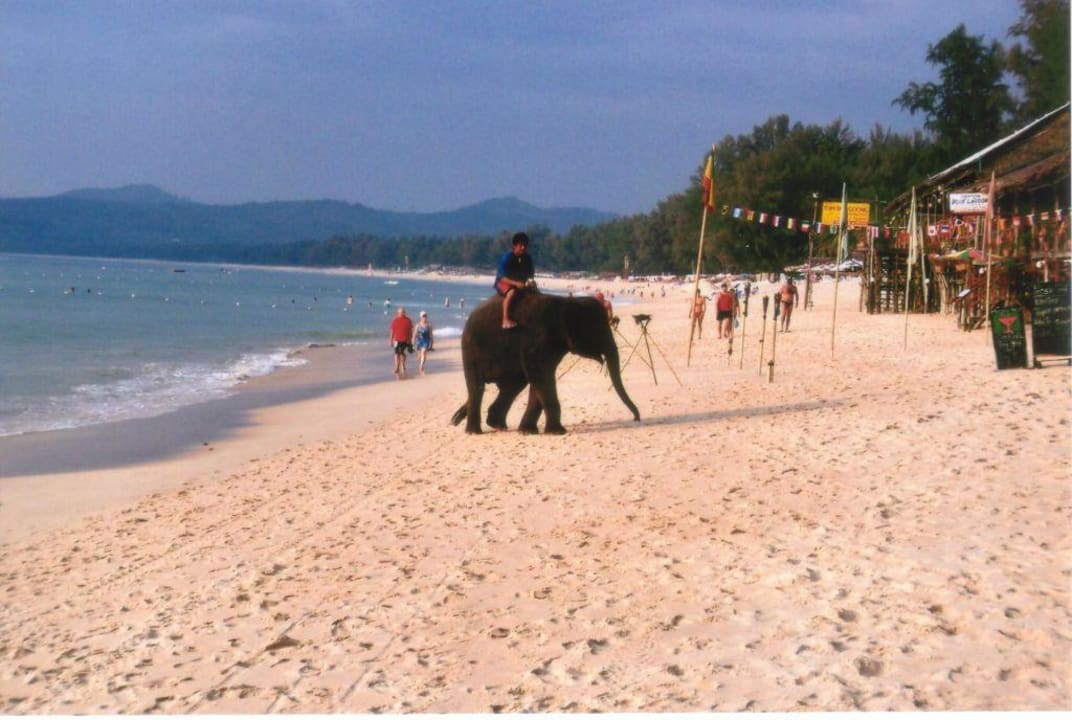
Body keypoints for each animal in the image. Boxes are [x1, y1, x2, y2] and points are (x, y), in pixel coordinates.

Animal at [450, 290, 641, 434]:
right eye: (598, 328)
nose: (636, 418)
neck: (567, 303)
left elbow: (540, 379)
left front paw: (527, 431)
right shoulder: (537, 338)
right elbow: (541, 376)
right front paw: (558, 432)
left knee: (513, 386)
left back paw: (498, 425)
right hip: (470, 349)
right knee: (477, 387)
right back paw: (474, 431)